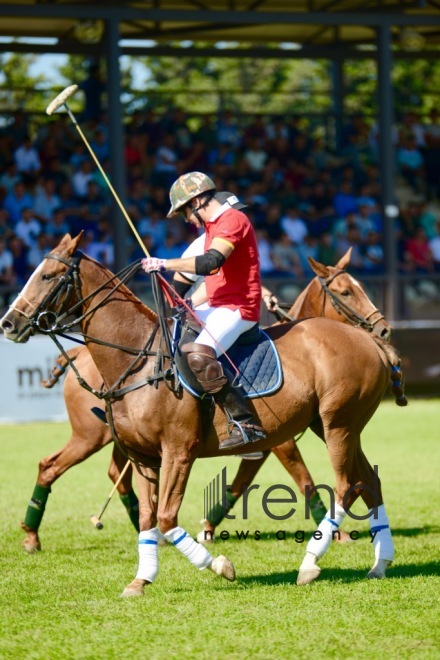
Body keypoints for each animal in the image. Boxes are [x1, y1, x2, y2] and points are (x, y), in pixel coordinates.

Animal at [0, 235, 396, 596]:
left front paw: (218, 564)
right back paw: (379, 564)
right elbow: (152, 516)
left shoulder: (181, 450)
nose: (8, 323)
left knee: (347, 486)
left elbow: (168, 515)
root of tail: (370, 343)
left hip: (338, 423)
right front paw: (141, 579)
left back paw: (311, 563)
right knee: (369, 482)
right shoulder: (145, 456)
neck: (137, 360)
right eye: (344, 292)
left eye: (48, 276)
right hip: (335, 425)